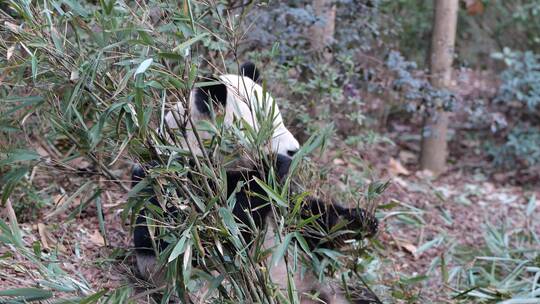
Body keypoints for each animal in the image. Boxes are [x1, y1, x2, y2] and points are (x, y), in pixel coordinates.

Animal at [131, 62, 378, 304]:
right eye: (264, 124)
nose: (295, 149)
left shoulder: (281, 206)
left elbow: (307, 222)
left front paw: (362, 220)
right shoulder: (174, 184)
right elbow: (222, 234)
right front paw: (276, 163)